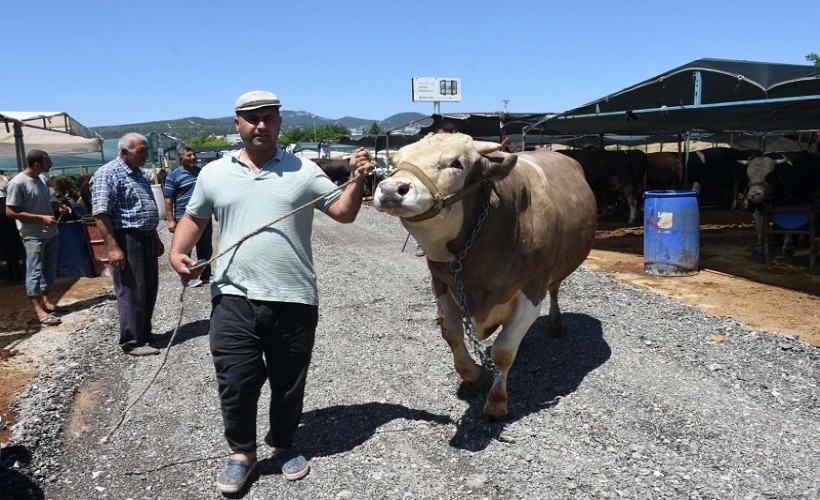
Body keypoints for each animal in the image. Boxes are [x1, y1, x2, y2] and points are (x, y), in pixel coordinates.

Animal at [372, 134, 596, 422]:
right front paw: (475, 375)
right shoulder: (442, 284)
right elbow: (452, 334)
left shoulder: (531, 291)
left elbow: (503, 351)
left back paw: (556, 325)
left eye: (457, 163)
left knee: (555, 289)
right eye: (396, 161)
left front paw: (497, 402)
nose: (390, 190)